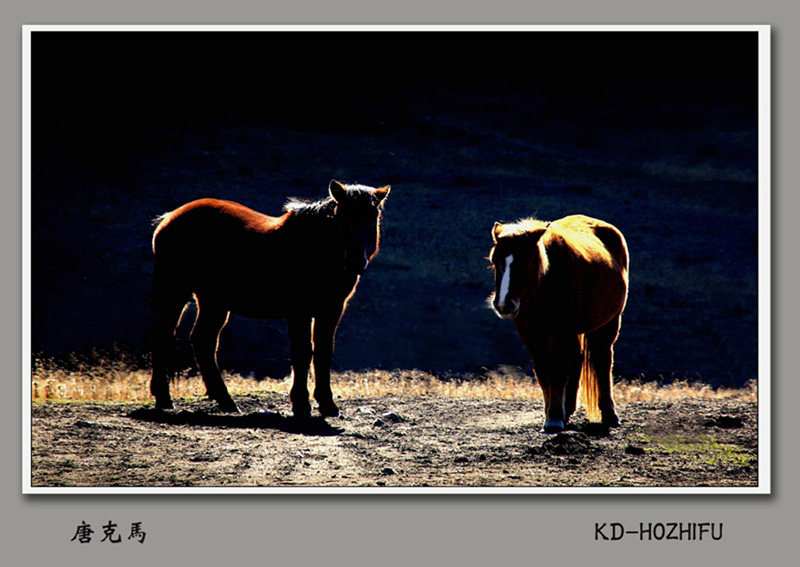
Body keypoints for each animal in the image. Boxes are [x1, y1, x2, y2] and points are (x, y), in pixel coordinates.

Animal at [150, 181, 390, 418]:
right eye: (340, 219)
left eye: (373, 216)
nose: (355, 262)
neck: (315, 249)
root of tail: (169, 218)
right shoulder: (299, 312)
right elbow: (302, 353)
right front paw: (301, 404)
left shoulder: (331, 310)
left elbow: (323, 352)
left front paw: (327, 404)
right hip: (175, 292)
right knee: (164, 336)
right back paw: (164, 398)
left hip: (213, 302)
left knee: (203, 342)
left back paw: (224, 400)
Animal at [488, 215, 632, 432]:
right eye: (495, 261)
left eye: (525, 260)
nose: (504, 304)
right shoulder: (531, 334)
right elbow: (543, 374)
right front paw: (553, 414)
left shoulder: (561, 331)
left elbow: (556, 372)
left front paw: (554, 419)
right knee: (577, 361)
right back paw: (568, 409)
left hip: (609, 323)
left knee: (602, 361)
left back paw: (609, 413)